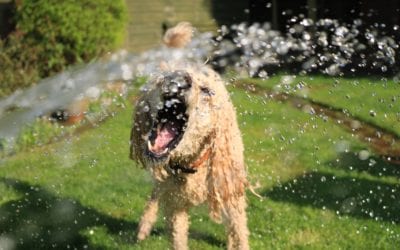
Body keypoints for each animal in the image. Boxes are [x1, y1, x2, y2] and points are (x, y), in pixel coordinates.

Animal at [130, 23, 248, 250]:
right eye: (162, 77)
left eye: (207, 91)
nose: (179, 78)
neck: (192, 164)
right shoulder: (175, 205)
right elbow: (177, 237)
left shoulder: (230, 192)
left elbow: (239, 232)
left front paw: (235, 241)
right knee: (155, 195)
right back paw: (143, 227)